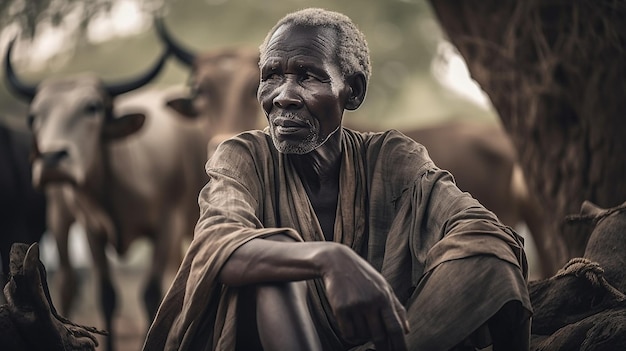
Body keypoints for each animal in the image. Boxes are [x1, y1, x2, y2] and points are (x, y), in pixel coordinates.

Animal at [4, 39, 207, 351]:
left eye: (92, 107)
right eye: (34, 116)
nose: (51, 160)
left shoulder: (167, 227)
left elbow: (152, 293)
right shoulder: (92, 230)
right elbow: (107, 295)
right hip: (59, 217)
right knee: (67, 281)